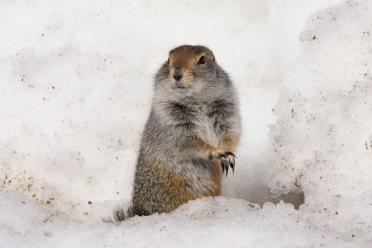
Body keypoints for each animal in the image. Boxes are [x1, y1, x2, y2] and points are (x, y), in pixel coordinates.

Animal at [114, 45, 241, 221]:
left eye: (202, 59)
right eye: (169, 59)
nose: (177, 74)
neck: (196, 100)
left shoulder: (227, 111)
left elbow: (231, 133)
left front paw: (228, 156)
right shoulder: (171, 122)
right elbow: (188, 141)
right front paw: (214, 152)